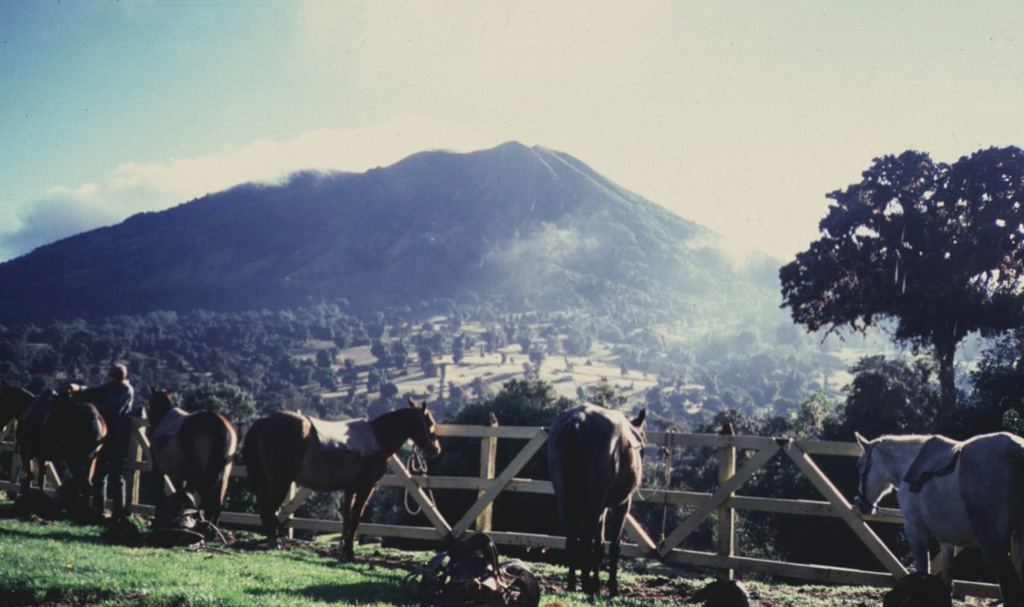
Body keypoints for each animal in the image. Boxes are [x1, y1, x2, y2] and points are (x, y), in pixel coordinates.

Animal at [147, 391, 238, 524]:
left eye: (151, 404)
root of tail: (220, 425)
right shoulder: (181, 476)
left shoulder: (158, 469)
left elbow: (160, 495)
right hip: (223, 478)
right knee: (216, 507)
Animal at [247, 397, 444, 556]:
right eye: (430, 422)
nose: (436, 449)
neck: (378, 438)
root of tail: (264, 421)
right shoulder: (365, 488)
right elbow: (355, 519)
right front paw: (349, 553)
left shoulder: (350, 489)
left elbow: (347, 520)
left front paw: (342, 549)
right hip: (280, 482)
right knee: (267, 510)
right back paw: (273, 543)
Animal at [548, 403, 643, 597]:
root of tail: (578, 421)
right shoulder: (622, 504)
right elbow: (613, 545)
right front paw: (612, 587)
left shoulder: (601, 507)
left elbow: (596, 541)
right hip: (594, 504)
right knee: (589, 543)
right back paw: (589, 585)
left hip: (566, 503)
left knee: (572, 540)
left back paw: (573, 584)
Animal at [851, 429, 1024, 605]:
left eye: (859, 466)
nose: (860, 502)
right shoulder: (946, 541)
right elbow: (947, 583)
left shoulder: (915, 531)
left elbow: (923, 575)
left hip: (991, 542)